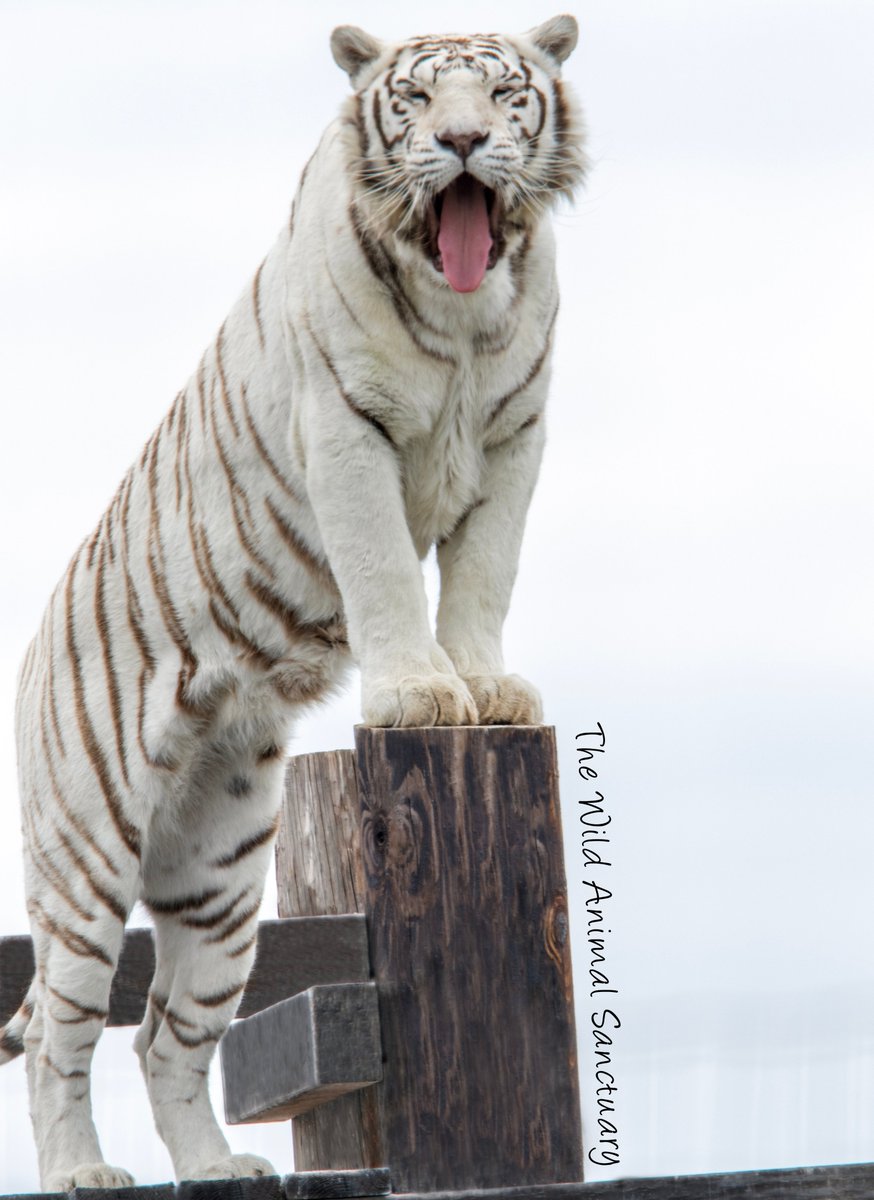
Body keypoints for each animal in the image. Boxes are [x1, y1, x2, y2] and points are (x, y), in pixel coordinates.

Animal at [3, 16, 588, 1190]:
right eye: (417, 102)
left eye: (506, 95)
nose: (463, 142)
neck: (467, 314)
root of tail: (33, 646)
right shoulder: (345, 430)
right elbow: (384, 575)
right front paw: (417, 695)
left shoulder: (516, 434)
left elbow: (483, 575)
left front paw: (485, 687)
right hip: (86, 858)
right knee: (55, 1025)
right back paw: (80, 1172)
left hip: (222, 876)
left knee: (168, 1031)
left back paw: (215, 1168)